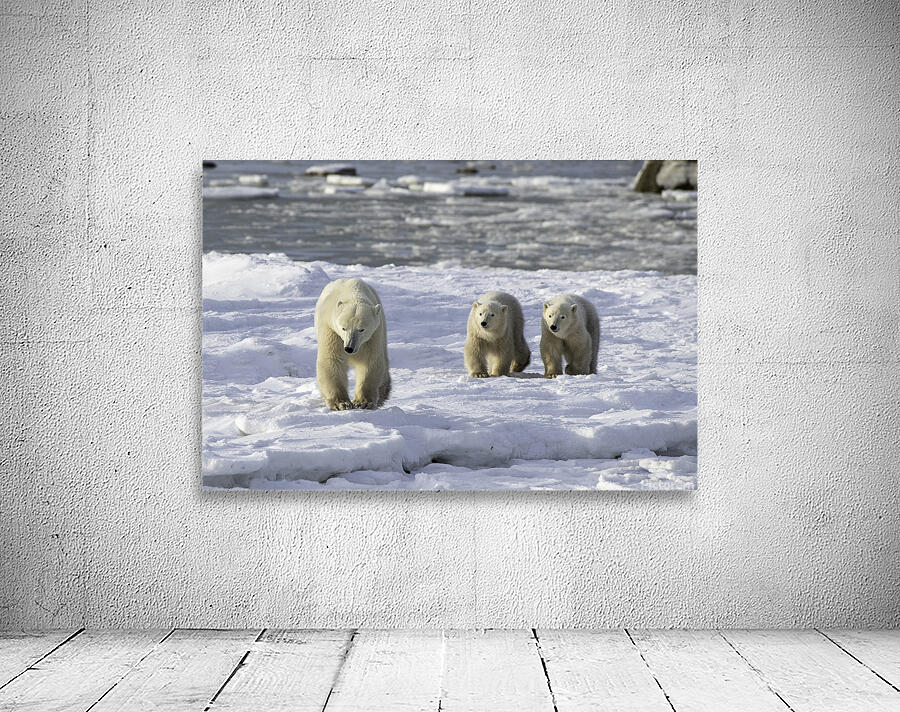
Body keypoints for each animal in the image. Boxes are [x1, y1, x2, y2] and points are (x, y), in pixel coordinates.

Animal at [314, 278, 391, 410]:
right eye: (343, 328)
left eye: (362, 329)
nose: (349, 348)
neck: (353, 293)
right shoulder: (331, 330)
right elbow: (333, 360)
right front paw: (341, 403)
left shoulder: (373, 335)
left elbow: (369, 361)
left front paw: (363, 402)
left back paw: (383, 393)